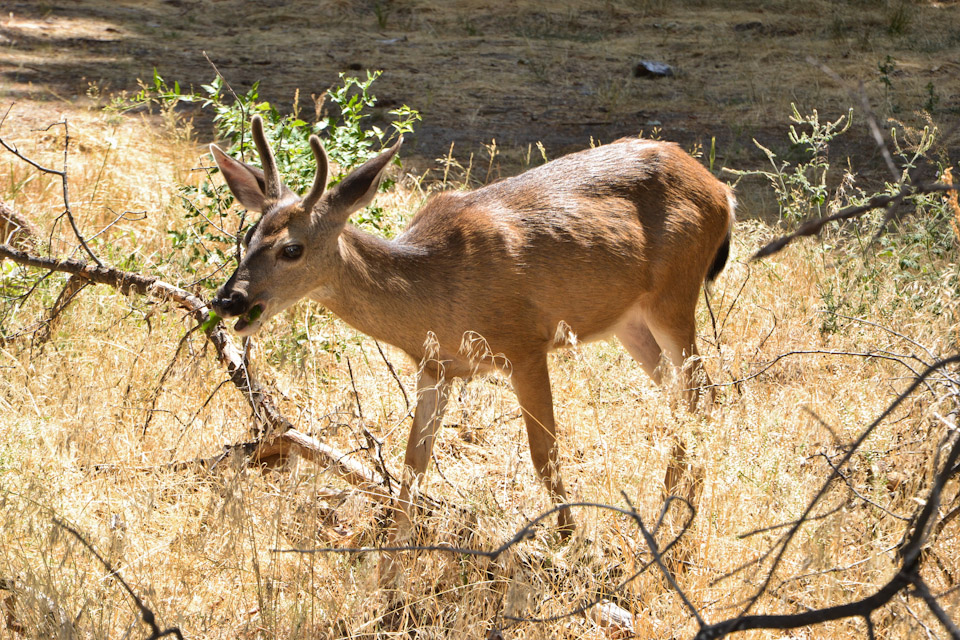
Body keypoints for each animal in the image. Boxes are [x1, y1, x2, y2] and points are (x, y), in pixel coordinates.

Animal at [209, 115, 734, 552]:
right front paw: (389, 576)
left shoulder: (525, 346)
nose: (228, 299)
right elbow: (411, 466)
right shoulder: (436, 368)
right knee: (682, 395)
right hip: (629, 321)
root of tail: (721, 192)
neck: (434, 287)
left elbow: (544, 454)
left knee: (701, 393)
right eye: (249, 236)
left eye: (292, 249)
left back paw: (677, 508)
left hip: (675, 295)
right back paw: (676, 496)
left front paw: (571, 547)